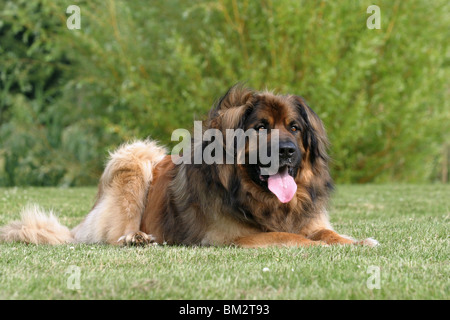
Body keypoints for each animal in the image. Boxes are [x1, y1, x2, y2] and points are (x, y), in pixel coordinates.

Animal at [0, 85, 378, 248]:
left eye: (295, 128)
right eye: (260, 128)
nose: (286, 152)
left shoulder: (310, 219)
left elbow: (326, 232)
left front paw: (355, 241)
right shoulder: (229, 238)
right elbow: (289, 237)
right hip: (135, 157)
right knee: (113, 233)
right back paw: (135, 238)